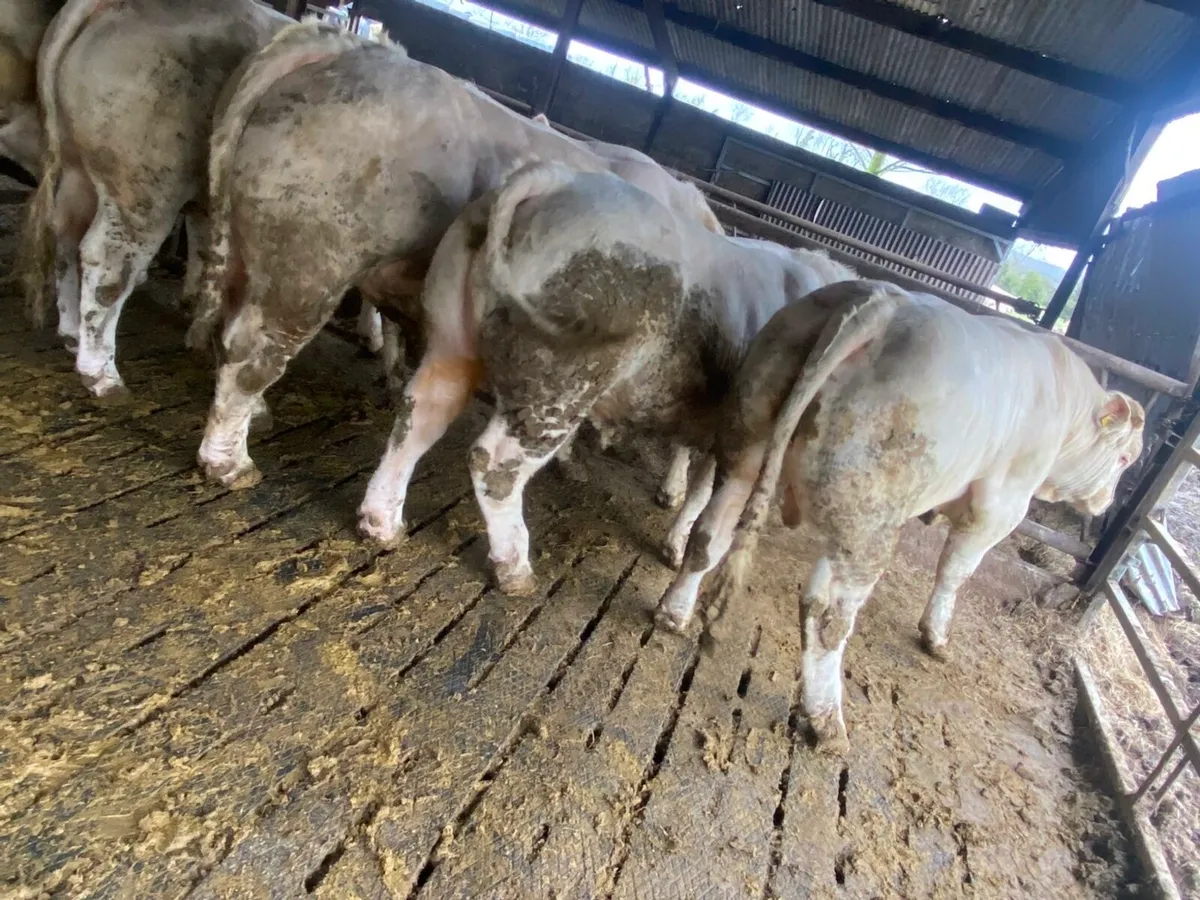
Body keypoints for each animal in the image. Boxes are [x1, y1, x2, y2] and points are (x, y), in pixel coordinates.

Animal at [19, 0, 289, 396]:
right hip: (144, 188)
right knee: (108, 261)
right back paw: (101, 373)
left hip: (77, 167)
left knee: (66, 234)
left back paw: (71, 334)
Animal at [189, 25, 725, 493]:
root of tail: (348, 48)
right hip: (309, 266)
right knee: (255, 349)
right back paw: (229, 463)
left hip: (246, 242)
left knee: (230, 322)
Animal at [349, 161, 856, 595]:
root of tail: (554, 180)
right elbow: (704, 497)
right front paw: (676, 546)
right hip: (560, 384)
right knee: (493, 461)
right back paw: (517, 571)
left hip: (451, 335)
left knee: (420, 413)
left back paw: (381, 524)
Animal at [655, 279, 1145, 751]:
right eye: (1125, 458)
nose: (1105, 503)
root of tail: (880, 304)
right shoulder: (1000, 504)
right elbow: (956, 571)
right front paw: (937, 636)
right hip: (869, 519)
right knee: (827, 615)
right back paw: (827, 721)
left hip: (760, 451)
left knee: (711, 536)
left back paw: (673, 612)